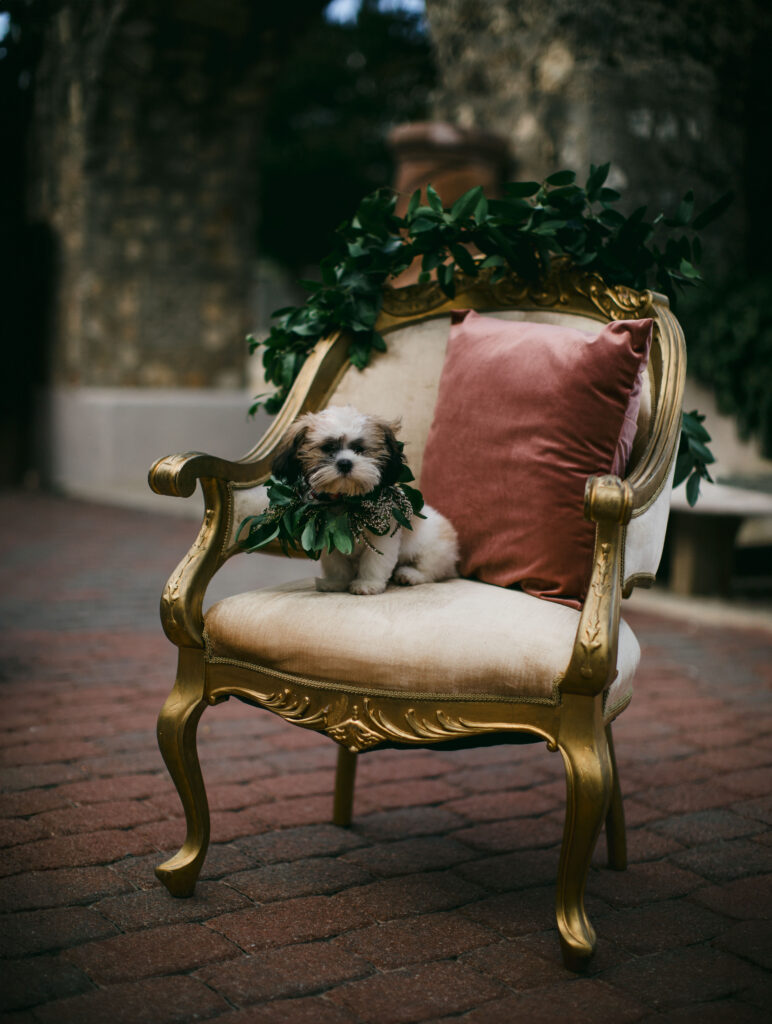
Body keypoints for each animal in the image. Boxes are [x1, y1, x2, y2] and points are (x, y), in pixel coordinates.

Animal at [272, 405, 456, 598]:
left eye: (359, 449)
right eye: (328, 448)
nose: (345, 463)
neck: (345, 501)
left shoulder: (383, 536)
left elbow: (374, 562)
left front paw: (367, 584)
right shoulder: (329, 534)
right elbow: (335, 563)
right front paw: (335, 583)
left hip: (434, 547)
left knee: (431, 570)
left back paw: (409, 575)